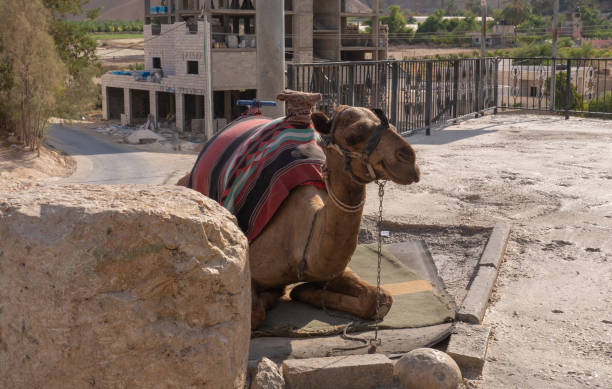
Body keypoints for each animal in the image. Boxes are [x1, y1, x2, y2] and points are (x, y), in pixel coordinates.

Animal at [179, 91, 418, 328]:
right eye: (353, 136)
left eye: (394, 126)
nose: (409, 160)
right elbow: (255, 312)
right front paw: (278, 294)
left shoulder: (332, 269)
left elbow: (380, 299)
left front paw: (303, 291)